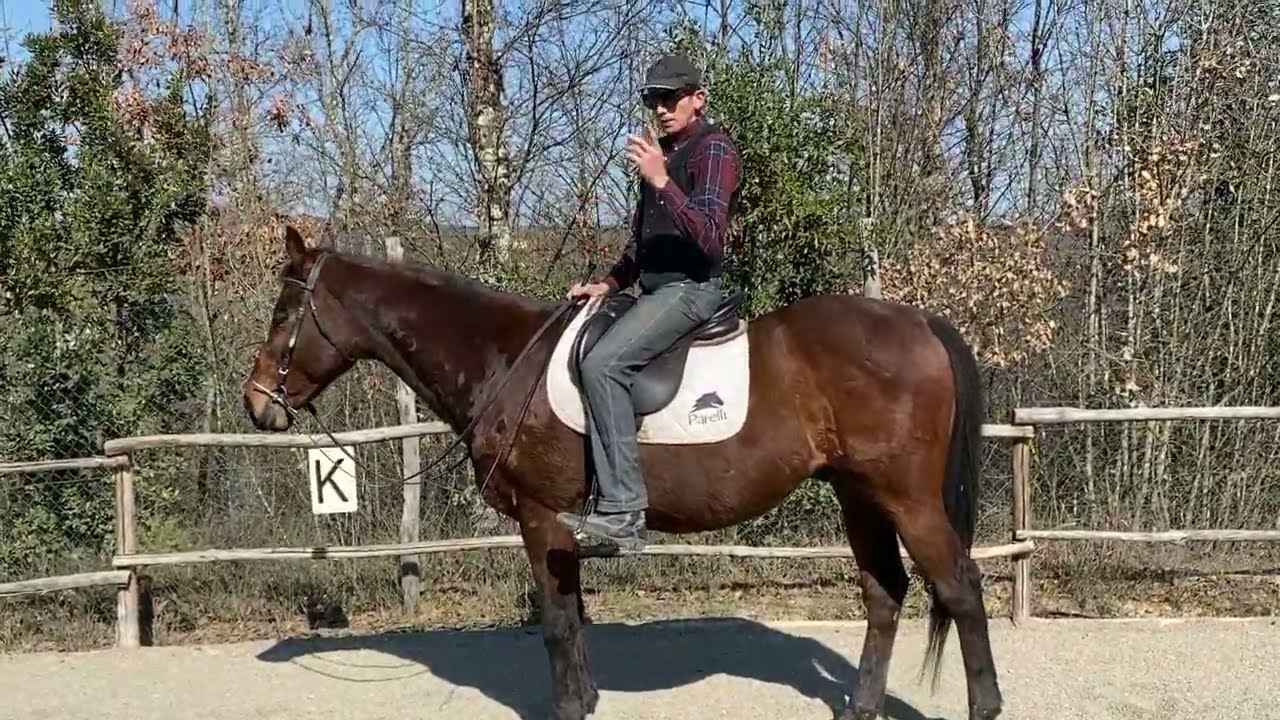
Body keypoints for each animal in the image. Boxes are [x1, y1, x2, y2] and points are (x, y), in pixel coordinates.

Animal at [241, 225, 1003, 720]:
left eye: (283, 311)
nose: (256, 404)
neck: (503, 357)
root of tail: (919, 324)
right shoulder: (556, 527)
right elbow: (572, 616)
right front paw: (585, 699)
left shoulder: (542, 517)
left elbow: (557, 621)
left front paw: (571, 708)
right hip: (859, 496)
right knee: (885, 593)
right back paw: (860, 707)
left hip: (906, 496)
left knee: (959, 587)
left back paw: (984, 706)